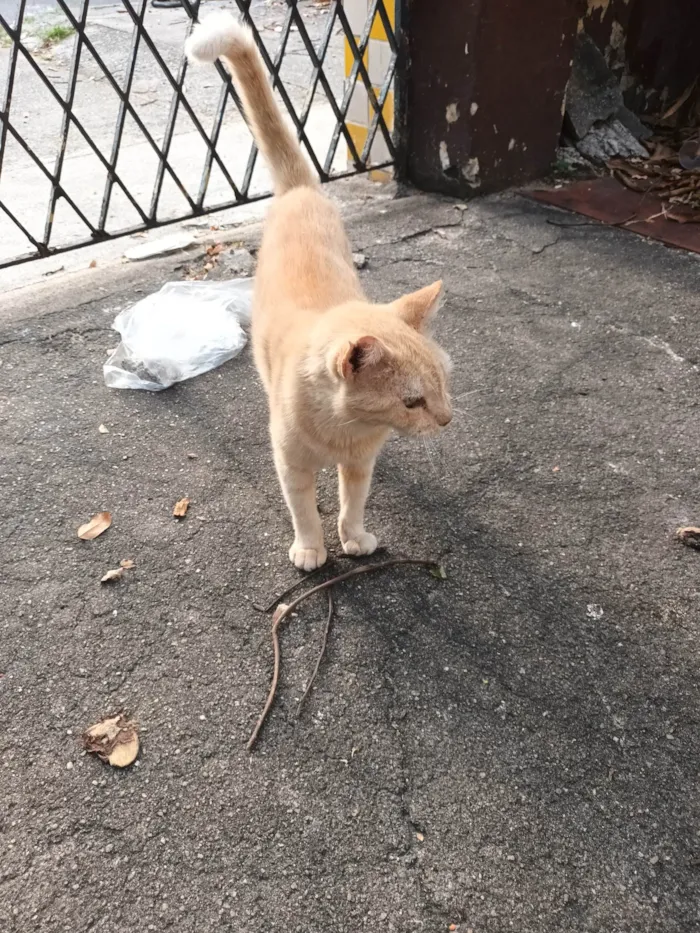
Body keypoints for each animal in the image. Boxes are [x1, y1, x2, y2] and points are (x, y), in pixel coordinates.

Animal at [187, 12, 448, 568]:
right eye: (412, 401)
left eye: (441, 388)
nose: (447, 419)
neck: (344, 431)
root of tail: (302, 191)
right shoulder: (291, 466)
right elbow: (304, 511)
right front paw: (311, 549)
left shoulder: (362, 464)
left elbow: (352, 504)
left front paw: (354, 537)